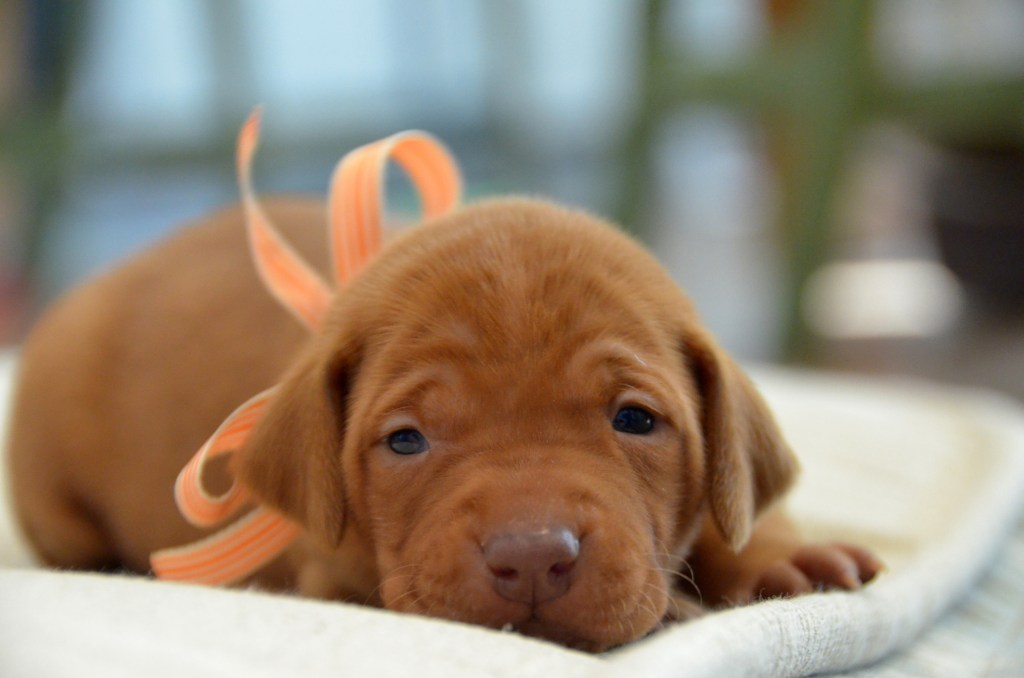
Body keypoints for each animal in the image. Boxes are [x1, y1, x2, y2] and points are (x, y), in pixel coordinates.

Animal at [6, 197, 880, 655]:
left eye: (635, 419)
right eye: (406, 440)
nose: (532, 559)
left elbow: (742, 519)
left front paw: (782, 559)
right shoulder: (332, 575)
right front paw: (674, 608)